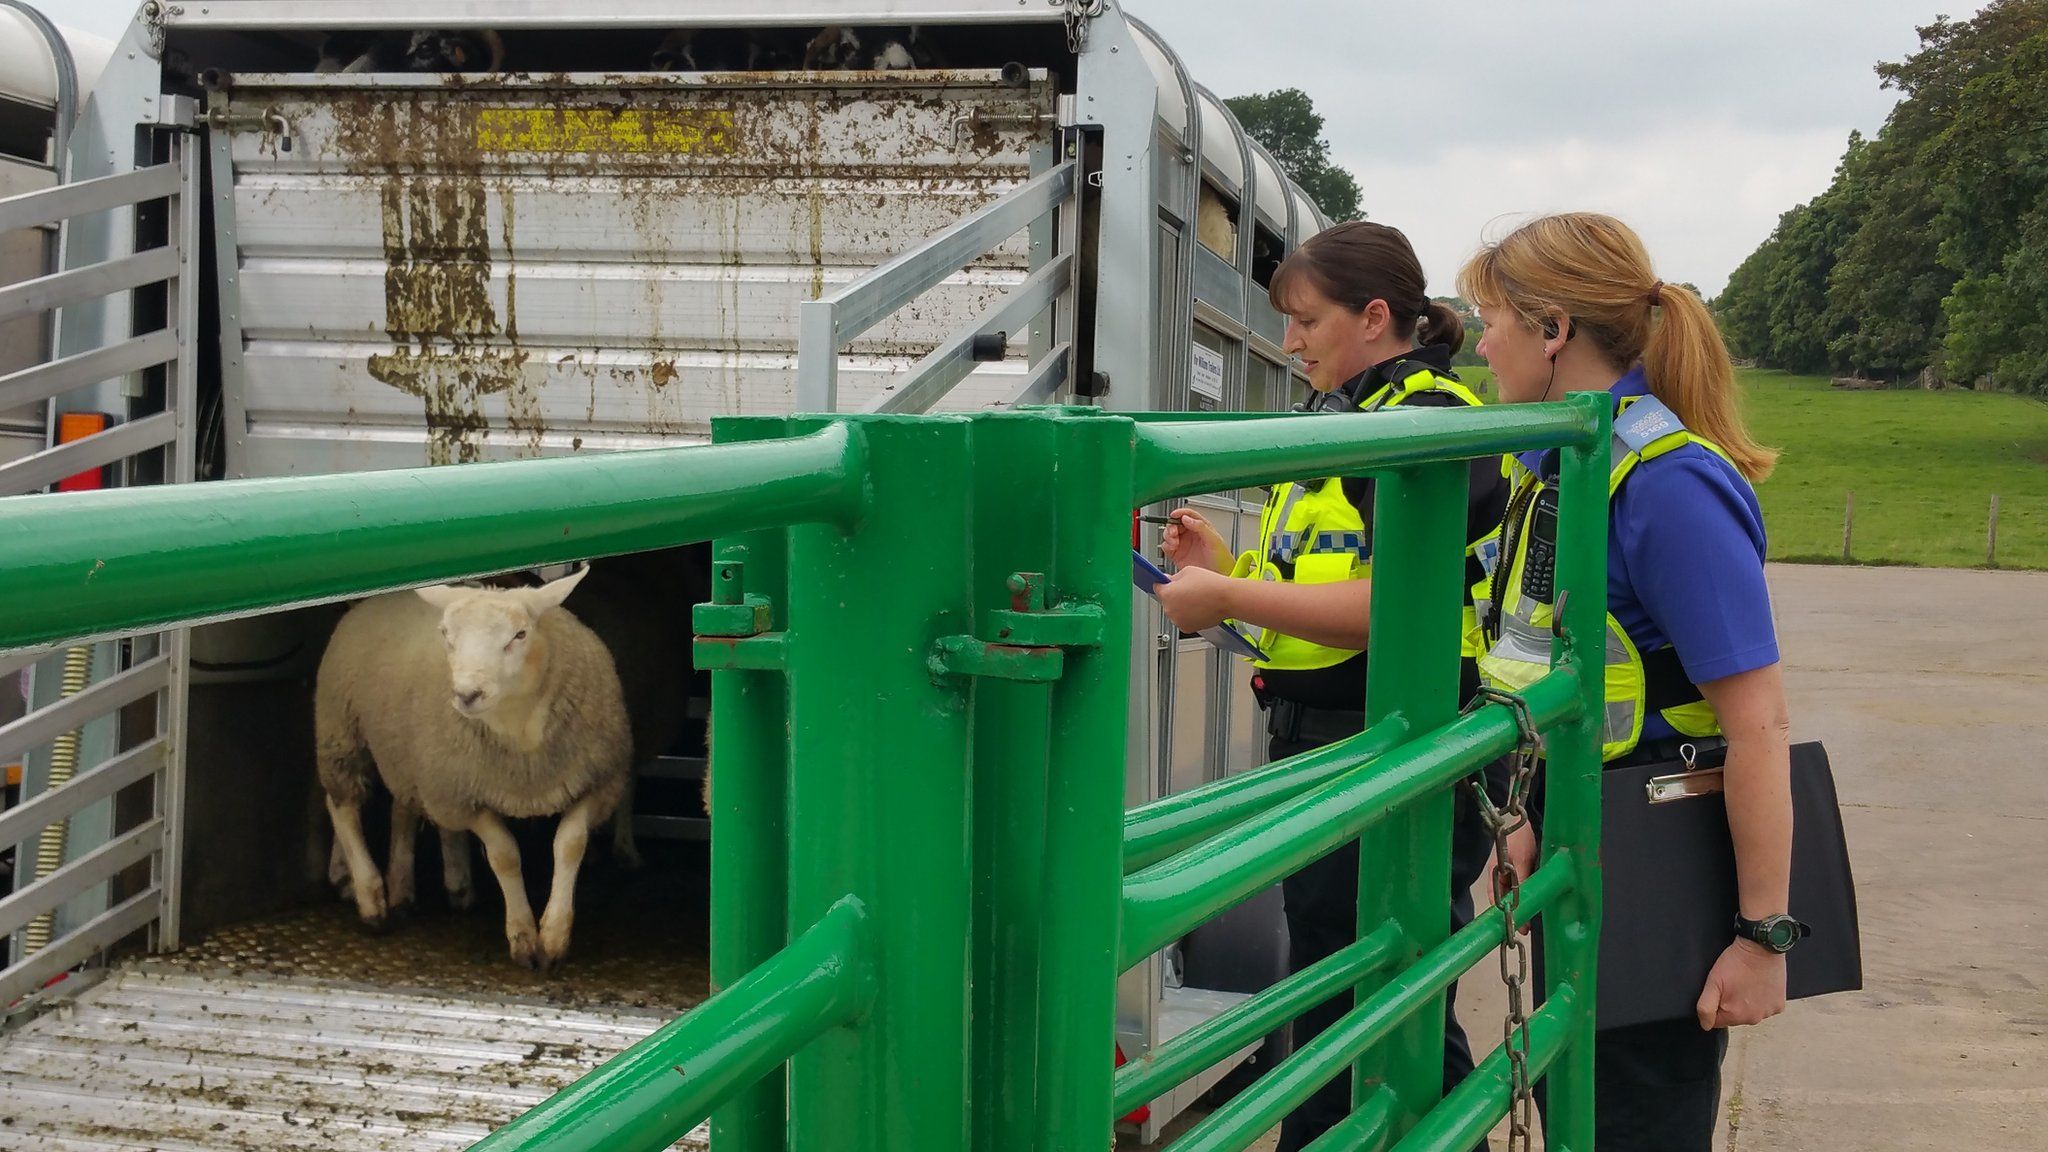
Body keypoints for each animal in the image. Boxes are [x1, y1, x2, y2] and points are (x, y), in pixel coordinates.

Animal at [311, 569, 626, 963]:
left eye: (520, 635)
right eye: (446, 635)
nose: (467, 695)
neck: (522, 739)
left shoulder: (597, 783)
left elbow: (570, 844)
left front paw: (554, 937)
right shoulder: (464, 796)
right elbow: (504, 855)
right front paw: (523, 937)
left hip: (409, 756)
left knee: (402, 810)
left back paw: (409, 888)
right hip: (342, 730)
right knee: (343, 805)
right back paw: (371, 898)